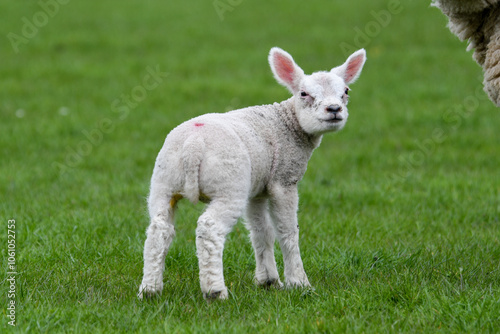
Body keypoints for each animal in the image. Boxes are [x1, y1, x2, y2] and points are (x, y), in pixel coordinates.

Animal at [139, 46, 366, 300]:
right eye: (303, 93)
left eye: (345, 91)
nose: (334, 109)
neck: (287, 123)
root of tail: (194, 144)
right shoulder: (283, 180)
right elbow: (287, 231)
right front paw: (299, 282)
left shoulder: (257, 189)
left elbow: (261, 231)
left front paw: (268, 280)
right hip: (229, 185)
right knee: (209, 229)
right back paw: (215, 290)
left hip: (164, 182)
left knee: (159, 230)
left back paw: (150, 289)